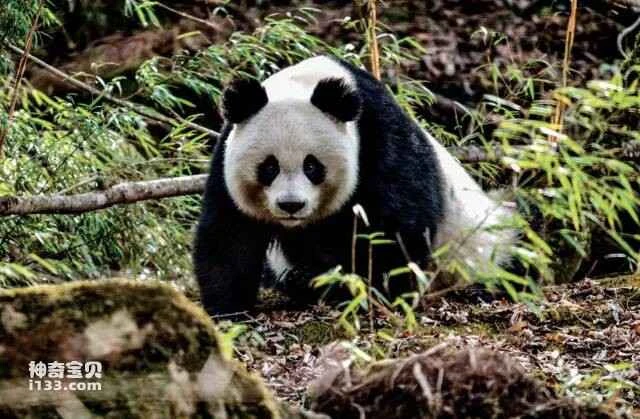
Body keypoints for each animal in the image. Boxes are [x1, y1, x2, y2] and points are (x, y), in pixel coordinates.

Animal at [194, 55, 516, 315]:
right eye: (269, 167)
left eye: (312, 166)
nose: (291, 205)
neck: (306, 83)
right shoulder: (226, 158)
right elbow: (230, 233)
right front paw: (229, 309)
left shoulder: (380, 139)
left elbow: (396, 225)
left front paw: (374, 291)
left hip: (486, 243)